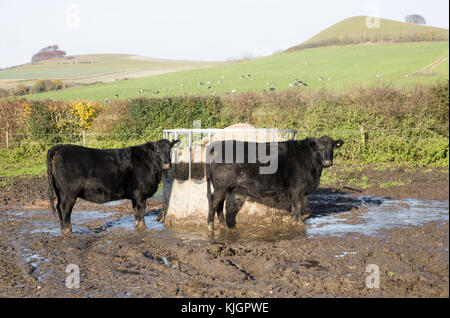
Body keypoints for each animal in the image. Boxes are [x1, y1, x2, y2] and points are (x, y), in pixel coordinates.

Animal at [46, 139, 178, 236]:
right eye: (157, 152)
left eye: (169, 151)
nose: (167, 164)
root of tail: (60, 147)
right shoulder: (140, 193)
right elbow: (141, 211)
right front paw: (143, 227)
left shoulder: (134, 196)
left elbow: (136, 211)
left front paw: (137, 226)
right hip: (69, 192)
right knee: (64, 208)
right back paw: (68, 231)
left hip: (60, 191)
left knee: (59, 207)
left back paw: (63, 229)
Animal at [206, 135, 342, 231]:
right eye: (319, 148)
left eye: (332, 147)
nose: (327, 162)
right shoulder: (297, 188)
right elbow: (297, 205)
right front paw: (299, 223)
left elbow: (294, 206)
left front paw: (293, 220)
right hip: (221, 187)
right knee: (213, 203)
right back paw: (210, 227)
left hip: (225, 188)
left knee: (219, 205)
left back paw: (224, 226)